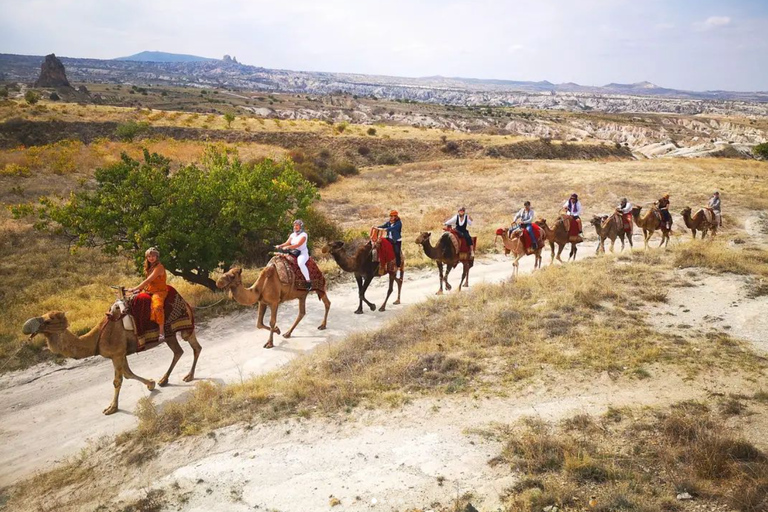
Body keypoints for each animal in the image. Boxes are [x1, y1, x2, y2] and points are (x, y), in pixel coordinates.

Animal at [20, 306, 201, 414]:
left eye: (48, 320)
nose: (28, 326)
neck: (97, 338)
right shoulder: (120, 354)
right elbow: (128, 374)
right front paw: (151, 384)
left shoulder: (116, 353)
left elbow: (118, 381)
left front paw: (111, 408)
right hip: (171, 334)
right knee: (180, 351)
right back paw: (165, 379)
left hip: (182, 327)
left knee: (192, 347)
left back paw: (188, 376)